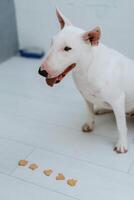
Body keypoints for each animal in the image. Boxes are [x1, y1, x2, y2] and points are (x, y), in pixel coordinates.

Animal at [38, 9, 134, 153]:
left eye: (67, 48)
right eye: (52, 42)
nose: (41, 72)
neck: (87, 68)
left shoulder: (118, 100)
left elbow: (121, 125)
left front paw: (121, 145)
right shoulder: (85, 96)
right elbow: (89, 111)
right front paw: (89, 125)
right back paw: (101, 109)